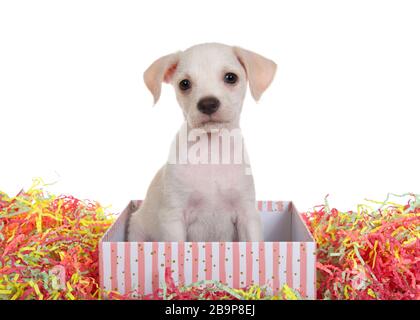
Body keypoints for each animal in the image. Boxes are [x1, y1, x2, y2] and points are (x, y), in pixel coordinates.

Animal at [130, 43, 278, 242]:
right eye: (184, 83)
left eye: (231, 77)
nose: (208, 104)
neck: (211, 150)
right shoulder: (173, 218)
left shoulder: (247, 214)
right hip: (136, 230)